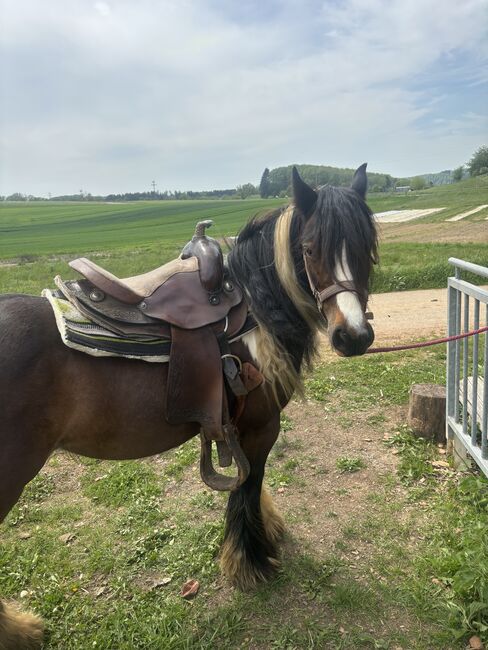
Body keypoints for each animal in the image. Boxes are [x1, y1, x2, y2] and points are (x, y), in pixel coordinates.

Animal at [0, 166, 378, 644]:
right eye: (310, 249)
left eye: (368, 247)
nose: (353, 336)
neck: (255, 312)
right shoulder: (261, 428)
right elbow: (247, 487)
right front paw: (250, 562)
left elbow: (249, 487)